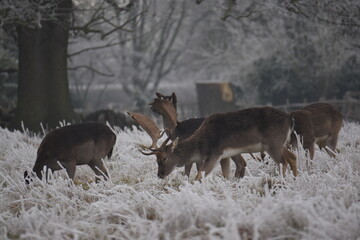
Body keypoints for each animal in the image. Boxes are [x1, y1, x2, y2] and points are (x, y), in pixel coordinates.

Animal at [139, 107, 296, 180]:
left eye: (164, 158)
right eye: (156, 159)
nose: (160, 174)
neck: (201, 146)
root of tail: (290, 118)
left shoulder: (214, 153)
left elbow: (199, 176)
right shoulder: (224, 156)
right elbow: (226, 175)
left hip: (273, 143)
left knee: (283, 162)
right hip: (281, 144)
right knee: (292, 157)